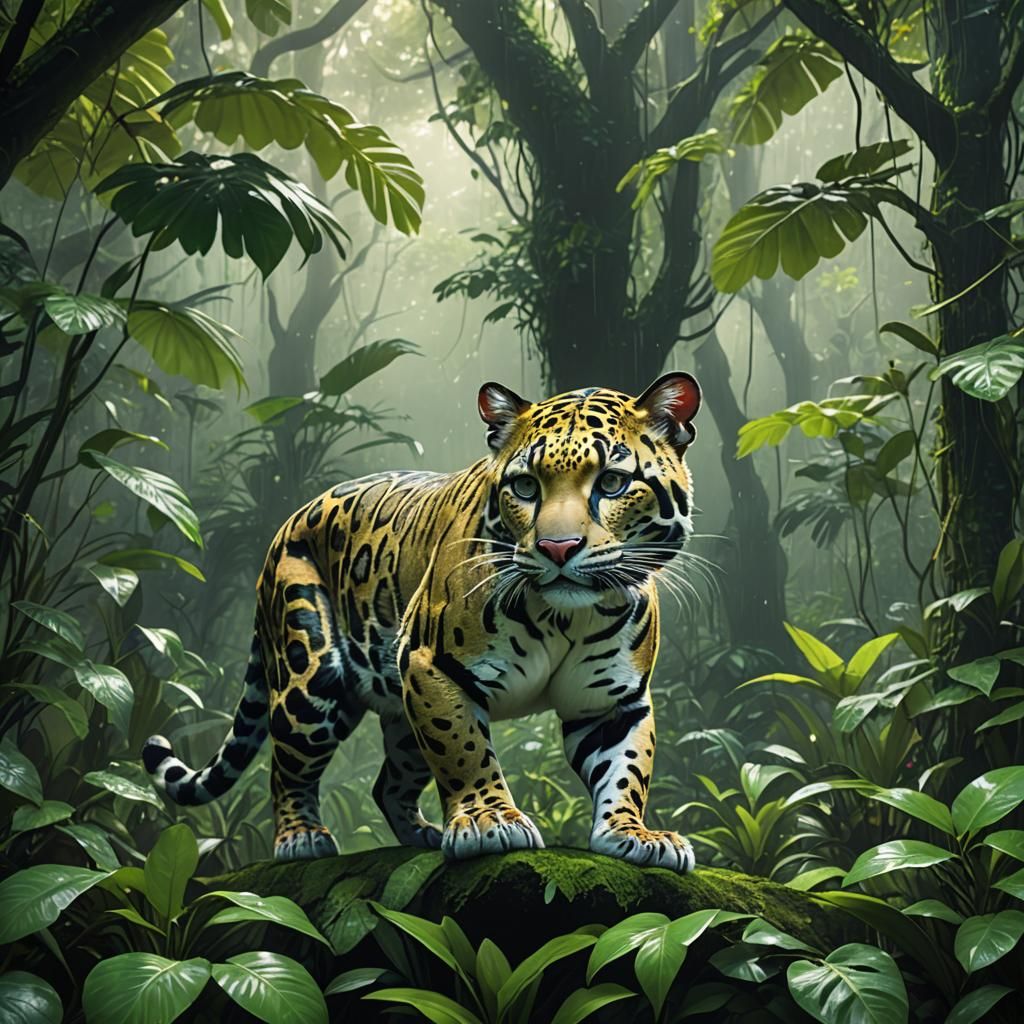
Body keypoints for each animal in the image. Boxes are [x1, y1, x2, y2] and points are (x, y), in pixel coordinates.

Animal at [143, 372, 702, 872]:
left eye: (612, 482)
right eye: (525, 486)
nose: (557, 548)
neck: (563, 617)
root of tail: (287, 523)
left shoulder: (612, 701)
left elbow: (626, 771)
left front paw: (634, 834)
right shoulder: (430, 665)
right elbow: (464, 750)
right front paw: (488, 821)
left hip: (400, 710)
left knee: (387, 783)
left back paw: (422, 835)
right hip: (310, 676)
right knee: (286, 767)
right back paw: (301, 838)